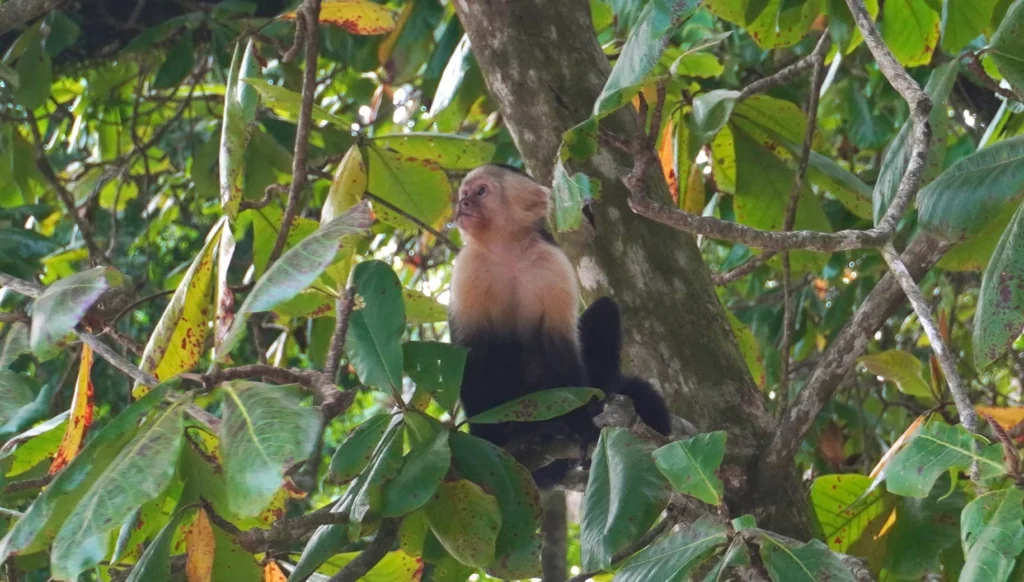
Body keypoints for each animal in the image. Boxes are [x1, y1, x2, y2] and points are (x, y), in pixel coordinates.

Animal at [448, 163, 671, 485]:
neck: (508, 249)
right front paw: (487, 440)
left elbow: (561, 349)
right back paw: (518, 434)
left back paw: (555, 427)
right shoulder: (469, 268)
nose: (463, 204)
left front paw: (582, 428)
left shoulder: (551, 262)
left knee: (604, 312)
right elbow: (471, 353)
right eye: (465, 193)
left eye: (481, 192)